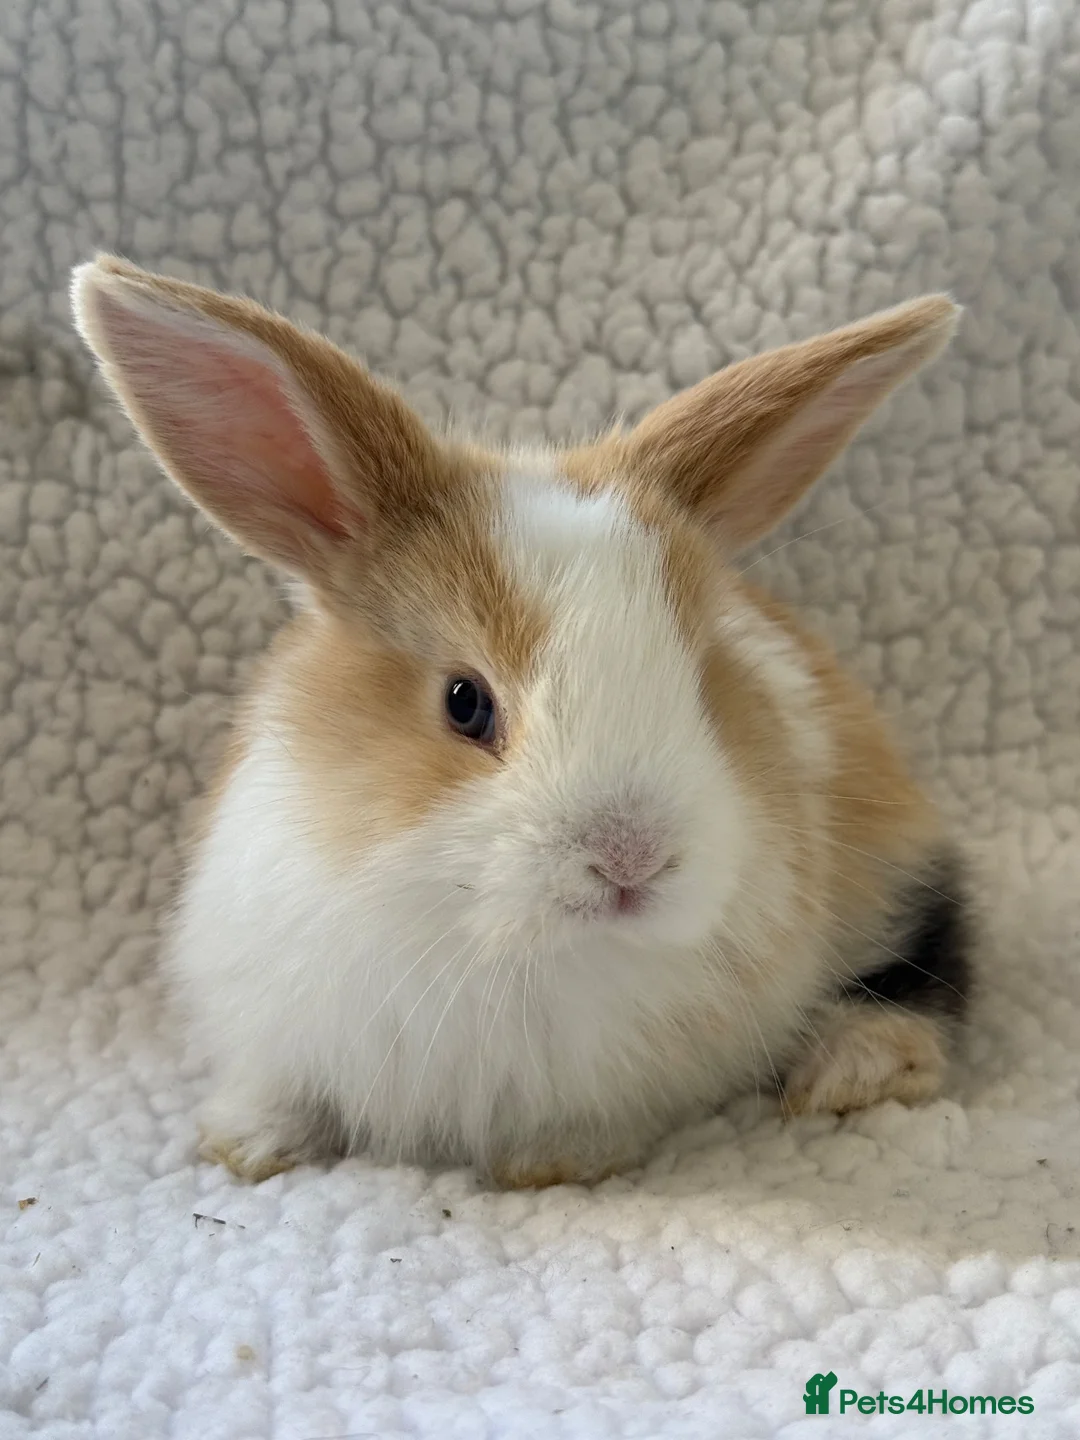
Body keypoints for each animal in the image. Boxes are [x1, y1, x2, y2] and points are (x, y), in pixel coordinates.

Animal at [72, 255, 971, 1189]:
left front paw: (553, 1164)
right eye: (465, 702)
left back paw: (855, 1067)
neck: (503, 947)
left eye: (702, 681)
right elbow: (281, 1088)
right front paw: (245, 1146)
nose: (632, 862)